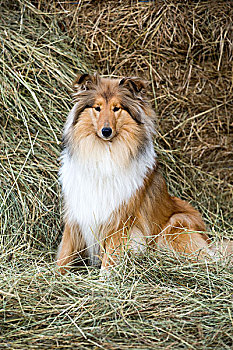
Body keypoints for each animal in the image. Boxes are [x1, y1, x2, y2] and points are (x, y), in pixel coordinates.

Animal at [56, 73, 213, 274]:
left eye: (117, 108)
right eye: (97, 108)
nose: (106, 131)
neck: (104, 152)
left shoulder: (120, 219)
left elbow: (110, 258)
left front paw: (104, 279)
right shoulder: (77, 212)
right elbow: (65, 252)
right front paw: (54, 274)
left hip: (175, 224)